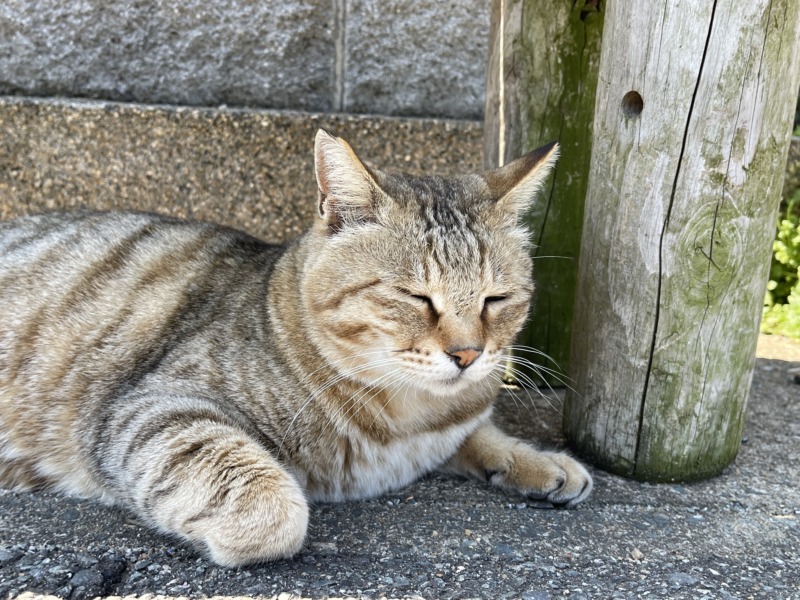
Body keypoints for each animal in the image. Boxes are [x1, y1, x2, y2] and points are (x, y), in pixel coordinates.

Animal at [0, 131, 588, 568]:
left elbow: (478, 433)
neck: (405, 419)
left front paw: (537, 461)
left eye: (496, 299)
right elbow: (271, 502)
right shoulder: (149, 407)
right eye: (415, 297)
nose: (468, 354)